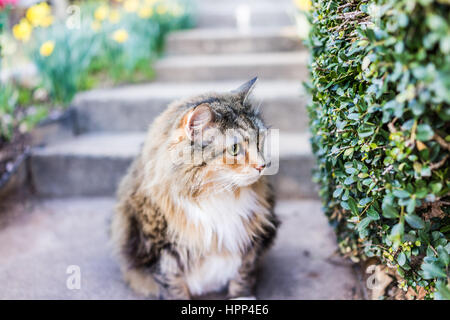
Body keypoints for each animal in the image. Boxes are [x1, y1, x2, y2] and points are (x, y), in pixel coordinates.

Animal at [110, 77, 280, 300]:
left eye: (259, 140)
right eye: (234, 149)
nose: (263, 165)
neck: (216, 195)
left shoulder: (250, 239)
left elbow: (242, 277)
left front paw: (242, 298)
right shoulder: (161, 250)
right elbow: (173, 286)